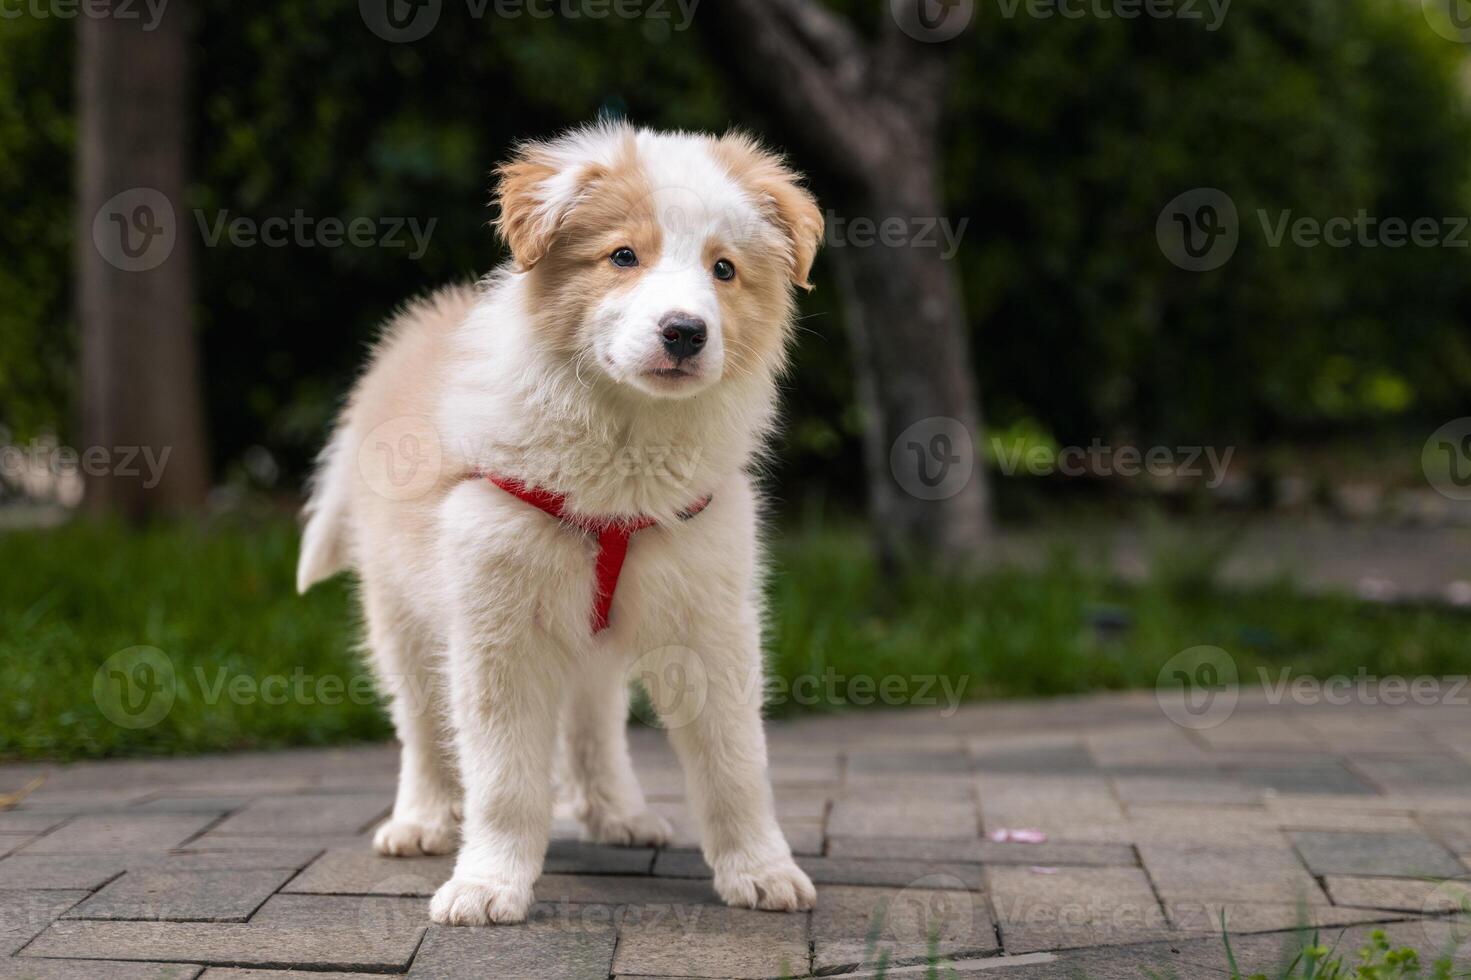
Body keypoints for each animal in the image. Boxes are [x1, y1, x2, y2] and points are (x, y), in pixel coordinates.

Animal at [295, 122, 829, 924]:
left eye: (724, 270)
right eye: (623, 256)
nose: (684, 332)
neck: (624, 451)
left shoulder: (711, 616)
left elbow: (736, 761)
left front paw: (762, 871)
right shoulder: (497, 624)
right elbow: (503, 778)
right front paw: (488, 885)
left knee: (593, 715)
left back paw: (616, 812)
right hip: (401, 610)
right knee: (422, 727)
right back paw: (420, 822)